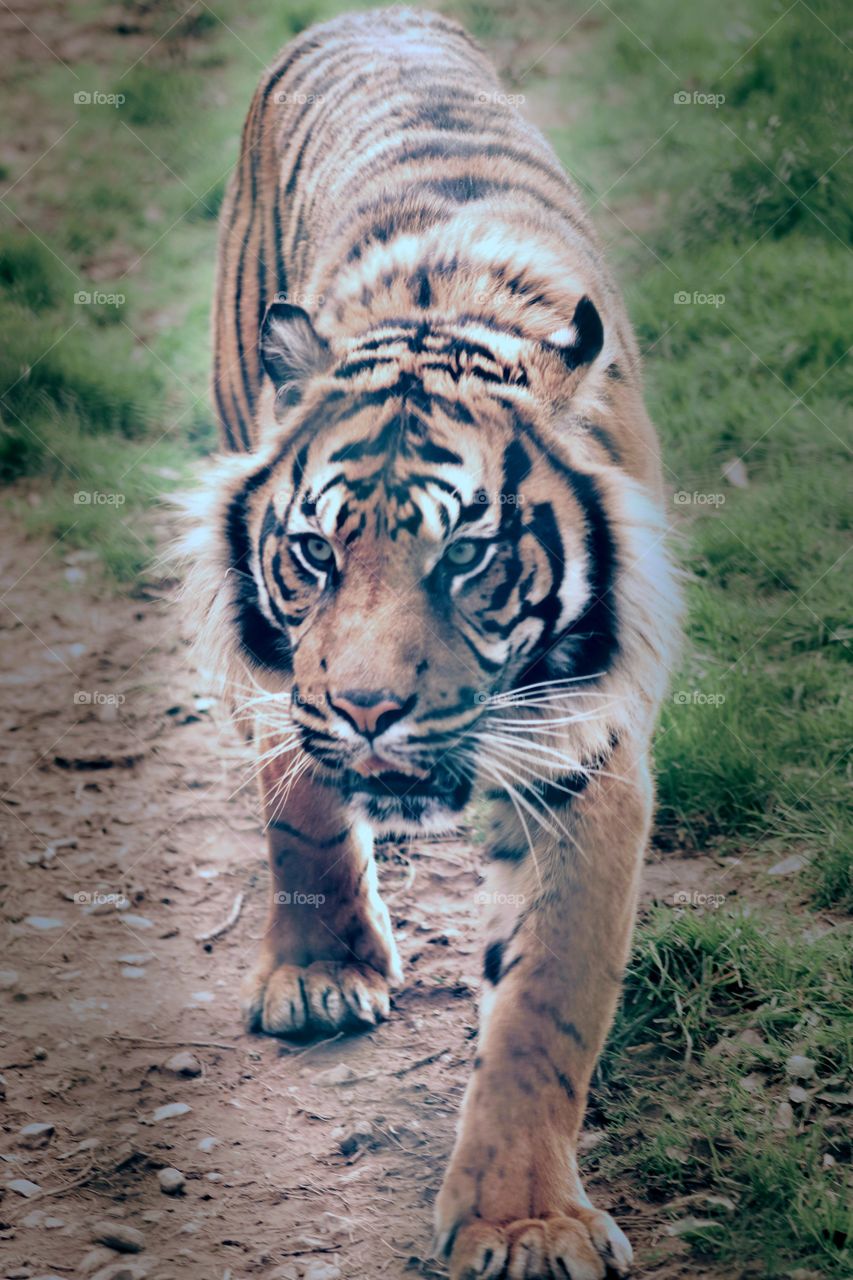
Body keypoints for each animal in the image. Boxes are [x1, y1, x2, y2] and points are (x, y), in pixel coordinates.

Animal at [190, 7, 680, 1278]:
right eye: (316, 552)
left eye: (465, 555)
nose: (368, 709)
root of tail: (371, 16)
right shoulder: (290, 679)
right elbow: (299, 798)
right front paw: (321, 971)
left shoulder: (582, 746)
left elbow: (545, 1000)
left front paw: (522, 1220)